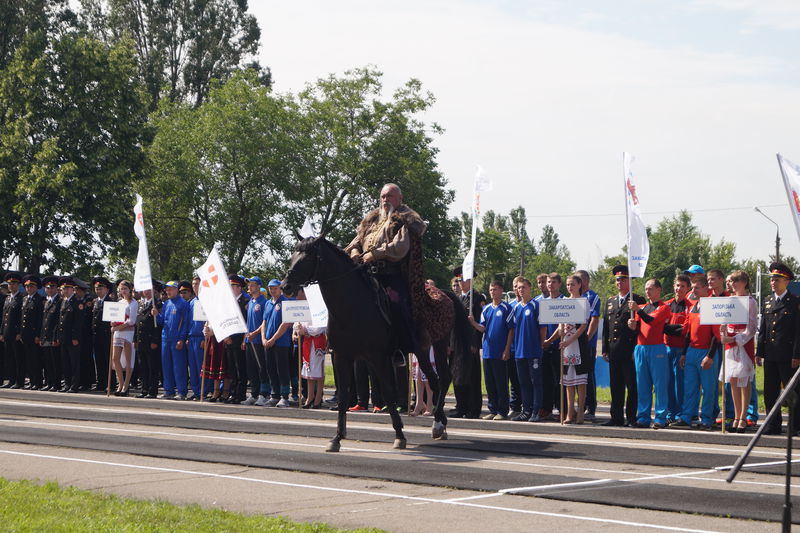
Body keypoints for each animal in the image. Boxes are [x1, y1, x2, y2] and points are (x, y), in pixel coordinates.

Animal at [282, 235, 472, 450]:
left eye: (307, 258)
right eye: (293, 255)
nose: (285, 286)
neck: (352, 306)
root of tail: (445, 293)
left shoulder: (377, 357)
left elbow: (388, 393)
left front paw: (399, 434)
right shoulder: (341, 356)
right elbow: (344, 396)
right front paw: (337, 438)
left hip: (434, 346)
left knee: (440, 378)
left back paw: (438, 423)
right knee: (438, 379)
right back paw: (441, 423)